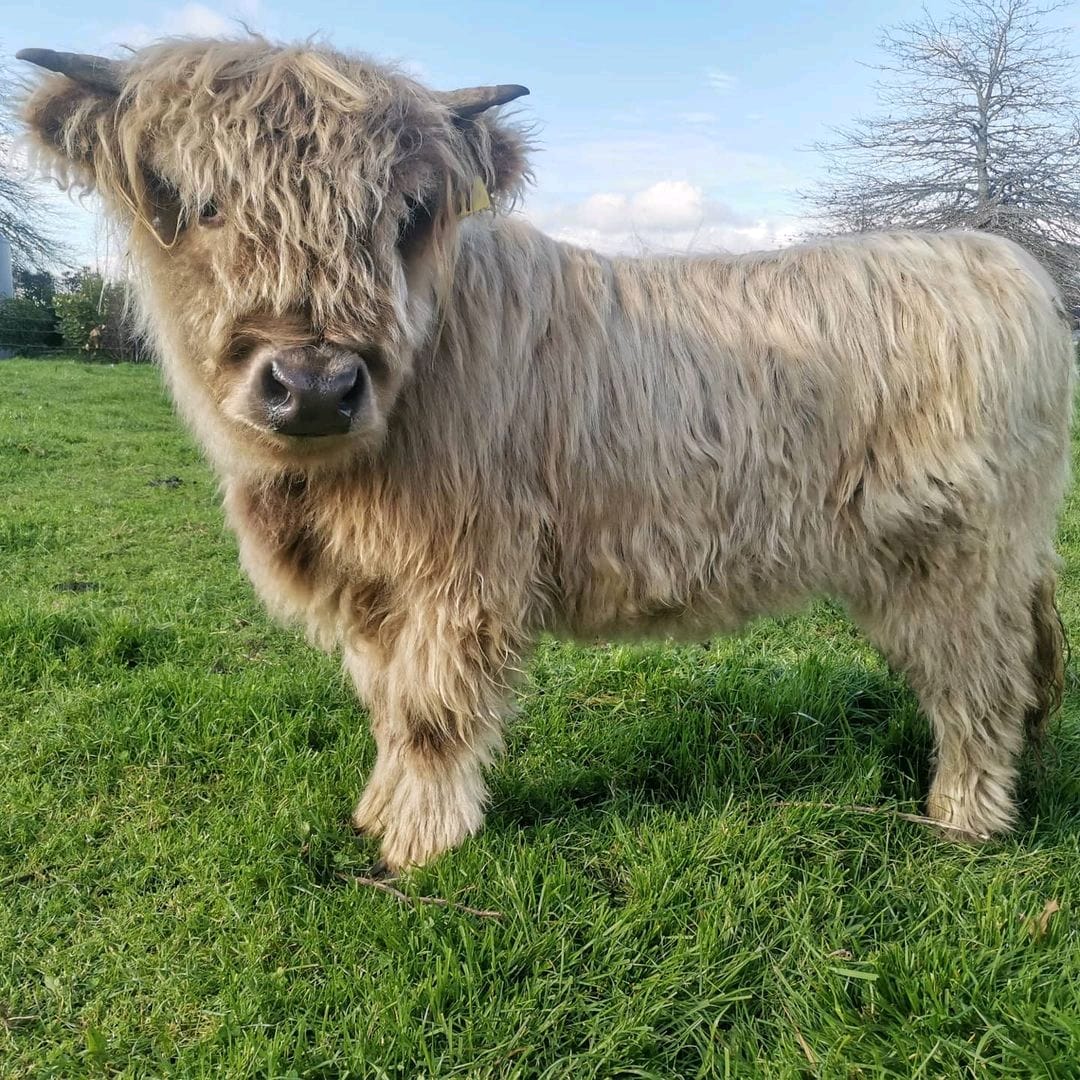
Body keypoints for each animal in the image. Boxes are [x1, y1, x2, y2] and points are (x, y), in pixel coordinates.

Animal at [19, 38, 1071, 872]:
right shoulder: (373, 588)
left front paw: (419, 847)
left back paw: (963, 818)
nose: (315, 384)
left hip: (956, 553)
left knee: (980, 680)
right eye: (202, 206)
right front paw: (376, 813)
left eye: (407, 215)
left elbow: (430, 714)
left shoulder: (461, 570)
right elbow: (387, 705)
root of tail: (997, 259)